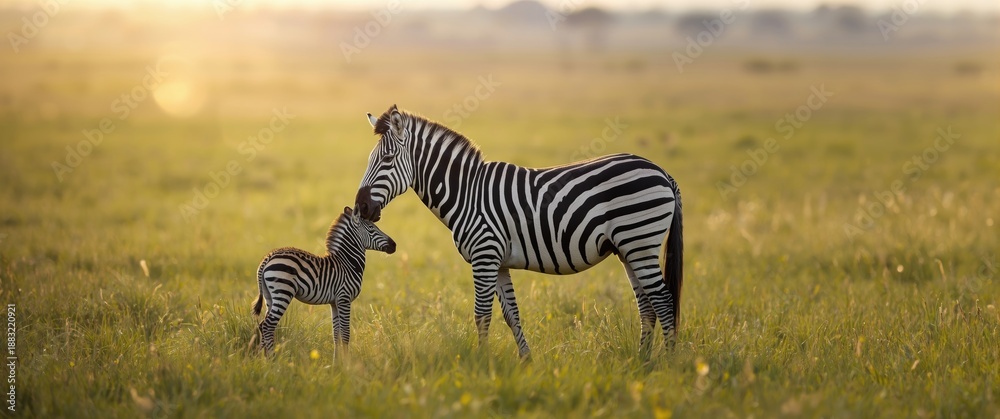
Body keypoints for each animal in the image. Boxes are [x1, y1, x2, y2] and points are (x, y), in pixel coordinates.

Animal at [252, 206, 396, 356]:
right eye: (372, 228)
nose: (394, 245)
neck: (347, 263)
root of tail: (267, 258)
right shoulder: (344, 298)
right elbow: (345, 334)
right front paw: (348, 361)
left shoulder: (334, 302)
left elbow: (336, 334)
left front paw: (337, 360)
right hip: (283, 291)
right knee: (268, 325)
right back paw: (272, 358)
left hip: (269, 296)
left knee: (262, 324)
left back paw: (262, 358)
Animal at [354, 105, 683, 359]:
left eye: (386, 160)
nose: (360, 206)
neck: (467, 193)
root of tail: (661, 171)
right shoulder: (497, 262)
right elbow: (511, 315)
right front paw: (526, 361)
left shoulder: (484, 256)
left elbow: (482, 315)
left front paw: (481, 363)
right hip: (629, 249)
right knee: (647, 306)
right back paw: (643, 362)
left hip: (640, 241)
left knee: (664, 302)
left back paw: (668, 364)